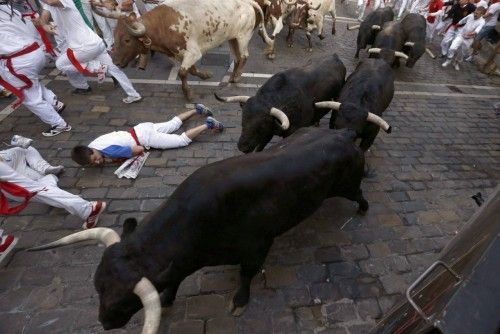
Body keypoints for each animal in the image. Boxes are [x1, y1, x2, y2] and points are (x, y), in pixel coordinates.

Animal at [29, 126, 370, 332]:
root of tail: (342, 133)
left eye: (126, 301)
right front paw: (167, 299)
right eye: (98, 287)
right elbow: (174, 280)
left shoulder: (258, 247)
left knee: (360, 194)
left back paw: (363, 210)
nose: (105, 322)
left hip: (349, 185)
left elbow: (246, 275)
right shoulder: (182, 262)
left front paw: (239, 303)